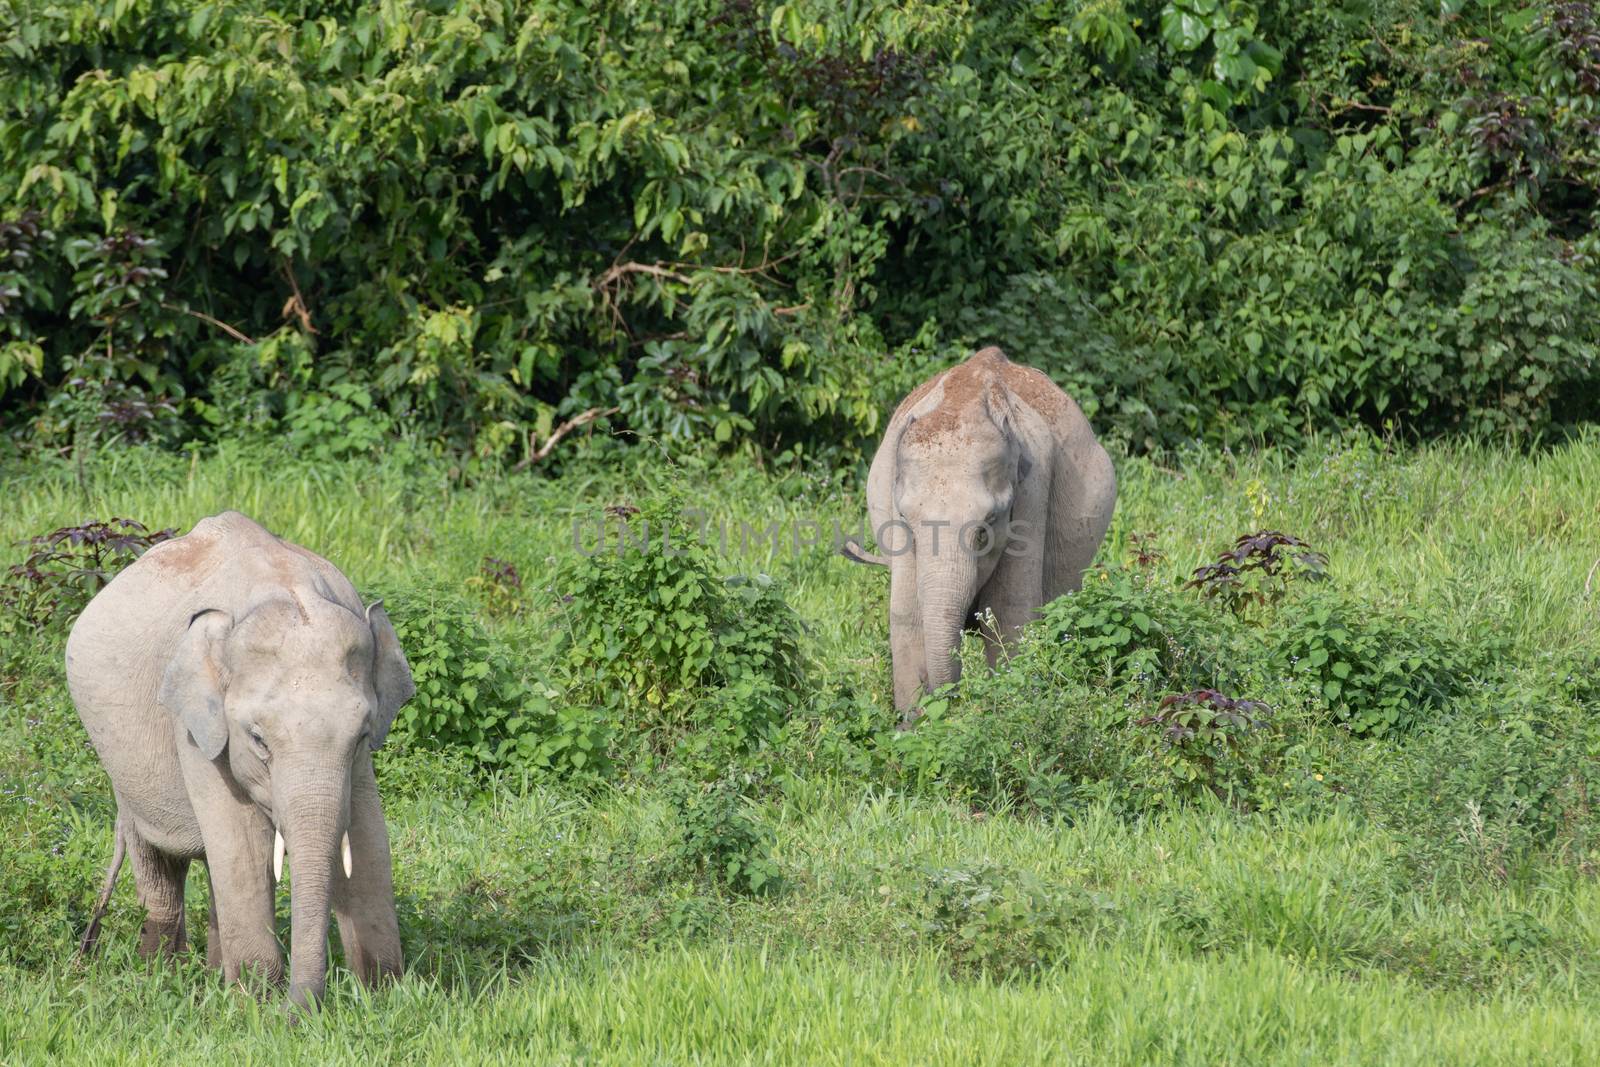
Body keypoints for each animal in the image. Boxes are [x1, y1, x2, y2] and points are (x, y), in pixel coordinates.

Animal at [68, 508, 419, 1011]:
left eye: (362, 737)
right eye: (258, 740)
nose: (302, 1015)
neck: (288, 590)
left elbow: (369, 837)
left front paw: (383, 994)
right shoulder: (195, 725)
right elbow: (243, 842)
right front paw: (257, 1004)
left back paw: (214, 974)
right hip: (122, 767)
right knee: (160, 859)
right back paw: (162, 976)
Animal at [844, 348, 1120, 716]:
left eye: (987, 525)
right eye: (905, 519)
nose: (947, 699)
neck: (964, 404)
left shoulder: (1033, 491)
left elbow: (1008, 613)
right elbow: (907, 615)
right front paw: (915, 724)